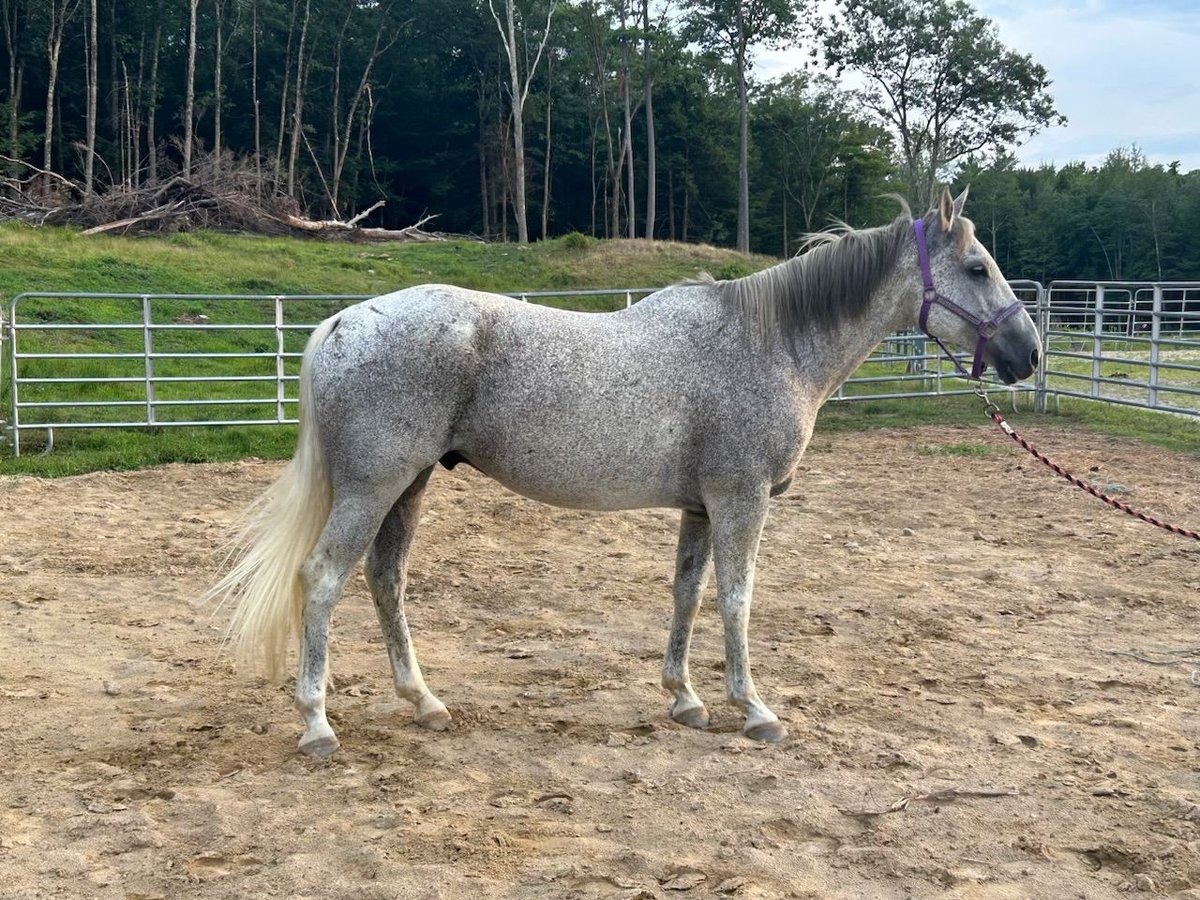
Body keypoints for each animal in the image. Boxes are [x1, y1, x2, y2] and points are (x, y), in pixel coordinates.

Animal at [211, 190, 1036, 763]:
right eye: (977, 267)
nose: (1028, 353)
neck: (771, 344)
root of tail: (343, 323)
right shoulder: (740, 502)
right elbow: (736, 600)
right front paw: (755, 711)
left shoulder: (701, 507)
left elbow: (688, 594)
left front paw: (685, 699)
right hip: (372, 488)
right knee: (323, 580)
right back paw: (317, 725)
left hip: (406, 487)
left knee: (386, 580)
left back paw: (424, 702)